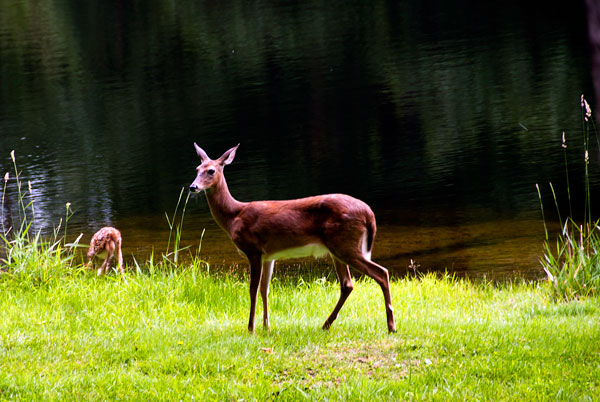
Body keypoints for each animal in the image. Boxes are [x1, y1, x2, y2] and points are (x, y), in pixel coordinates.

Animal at [190, 144, 396, 332]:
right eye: (197, 169)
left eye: (211, 170)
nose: (193, 187)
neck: (234, 215)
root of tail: (369, 213)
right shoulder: (268, 255)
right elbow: (265, 289)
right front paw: (266, 327)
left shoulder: (253, 250)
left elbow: (253, 290)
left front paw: (251, 328)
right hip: (338, 248)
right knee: (347, 284)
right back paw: (326, 324)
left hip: (345, 245)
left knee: (381, 273)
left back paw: (391, 325)